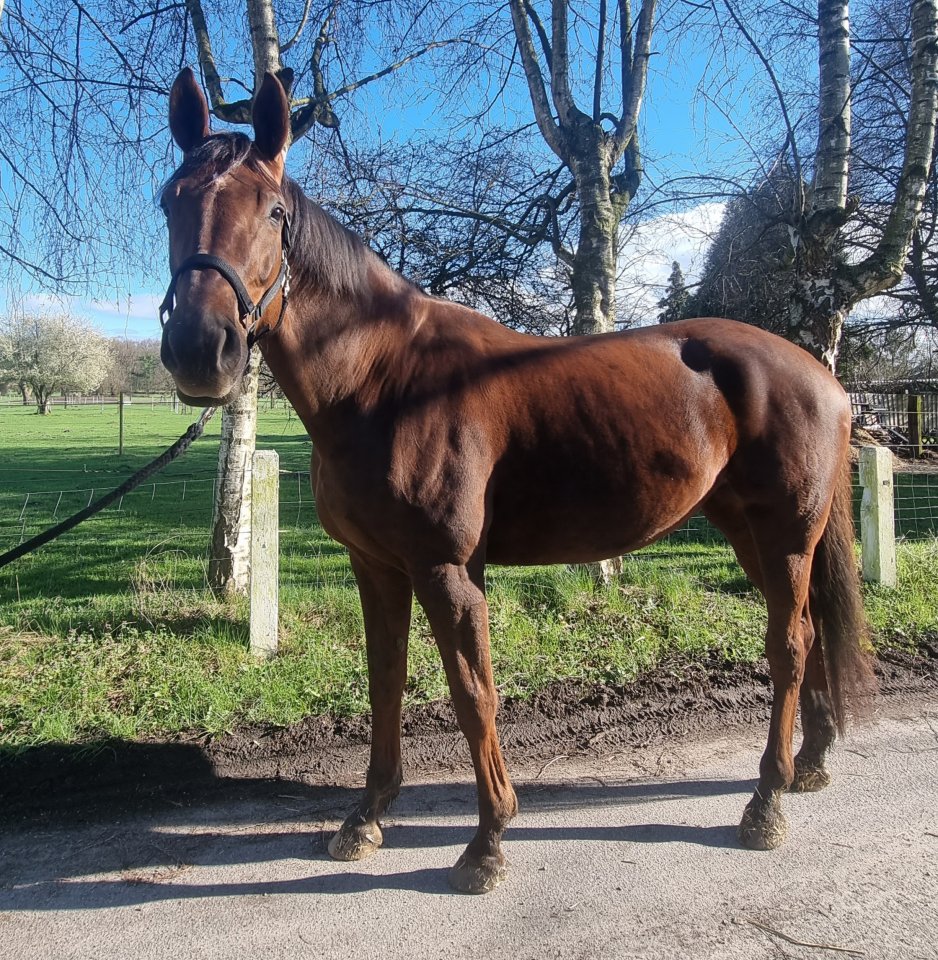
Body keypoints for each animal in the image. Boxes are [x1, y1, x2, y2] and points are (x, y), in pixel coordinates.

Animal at [159, 68, 876, 894]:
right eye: (170, 200)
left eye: (273, 211)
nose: (199, 350)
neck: (382, 379)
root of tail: (821, 377)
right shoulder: (376, 566)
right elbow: (385, 680)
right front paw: (365, 818)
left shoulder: (447, 571)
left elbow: (473, 694)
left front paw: (488, 841)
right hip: (750, 533)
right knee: (810, 632)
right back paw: (808, 764)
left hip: (786, 535)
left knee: (788, 643)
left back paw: (766, 801)